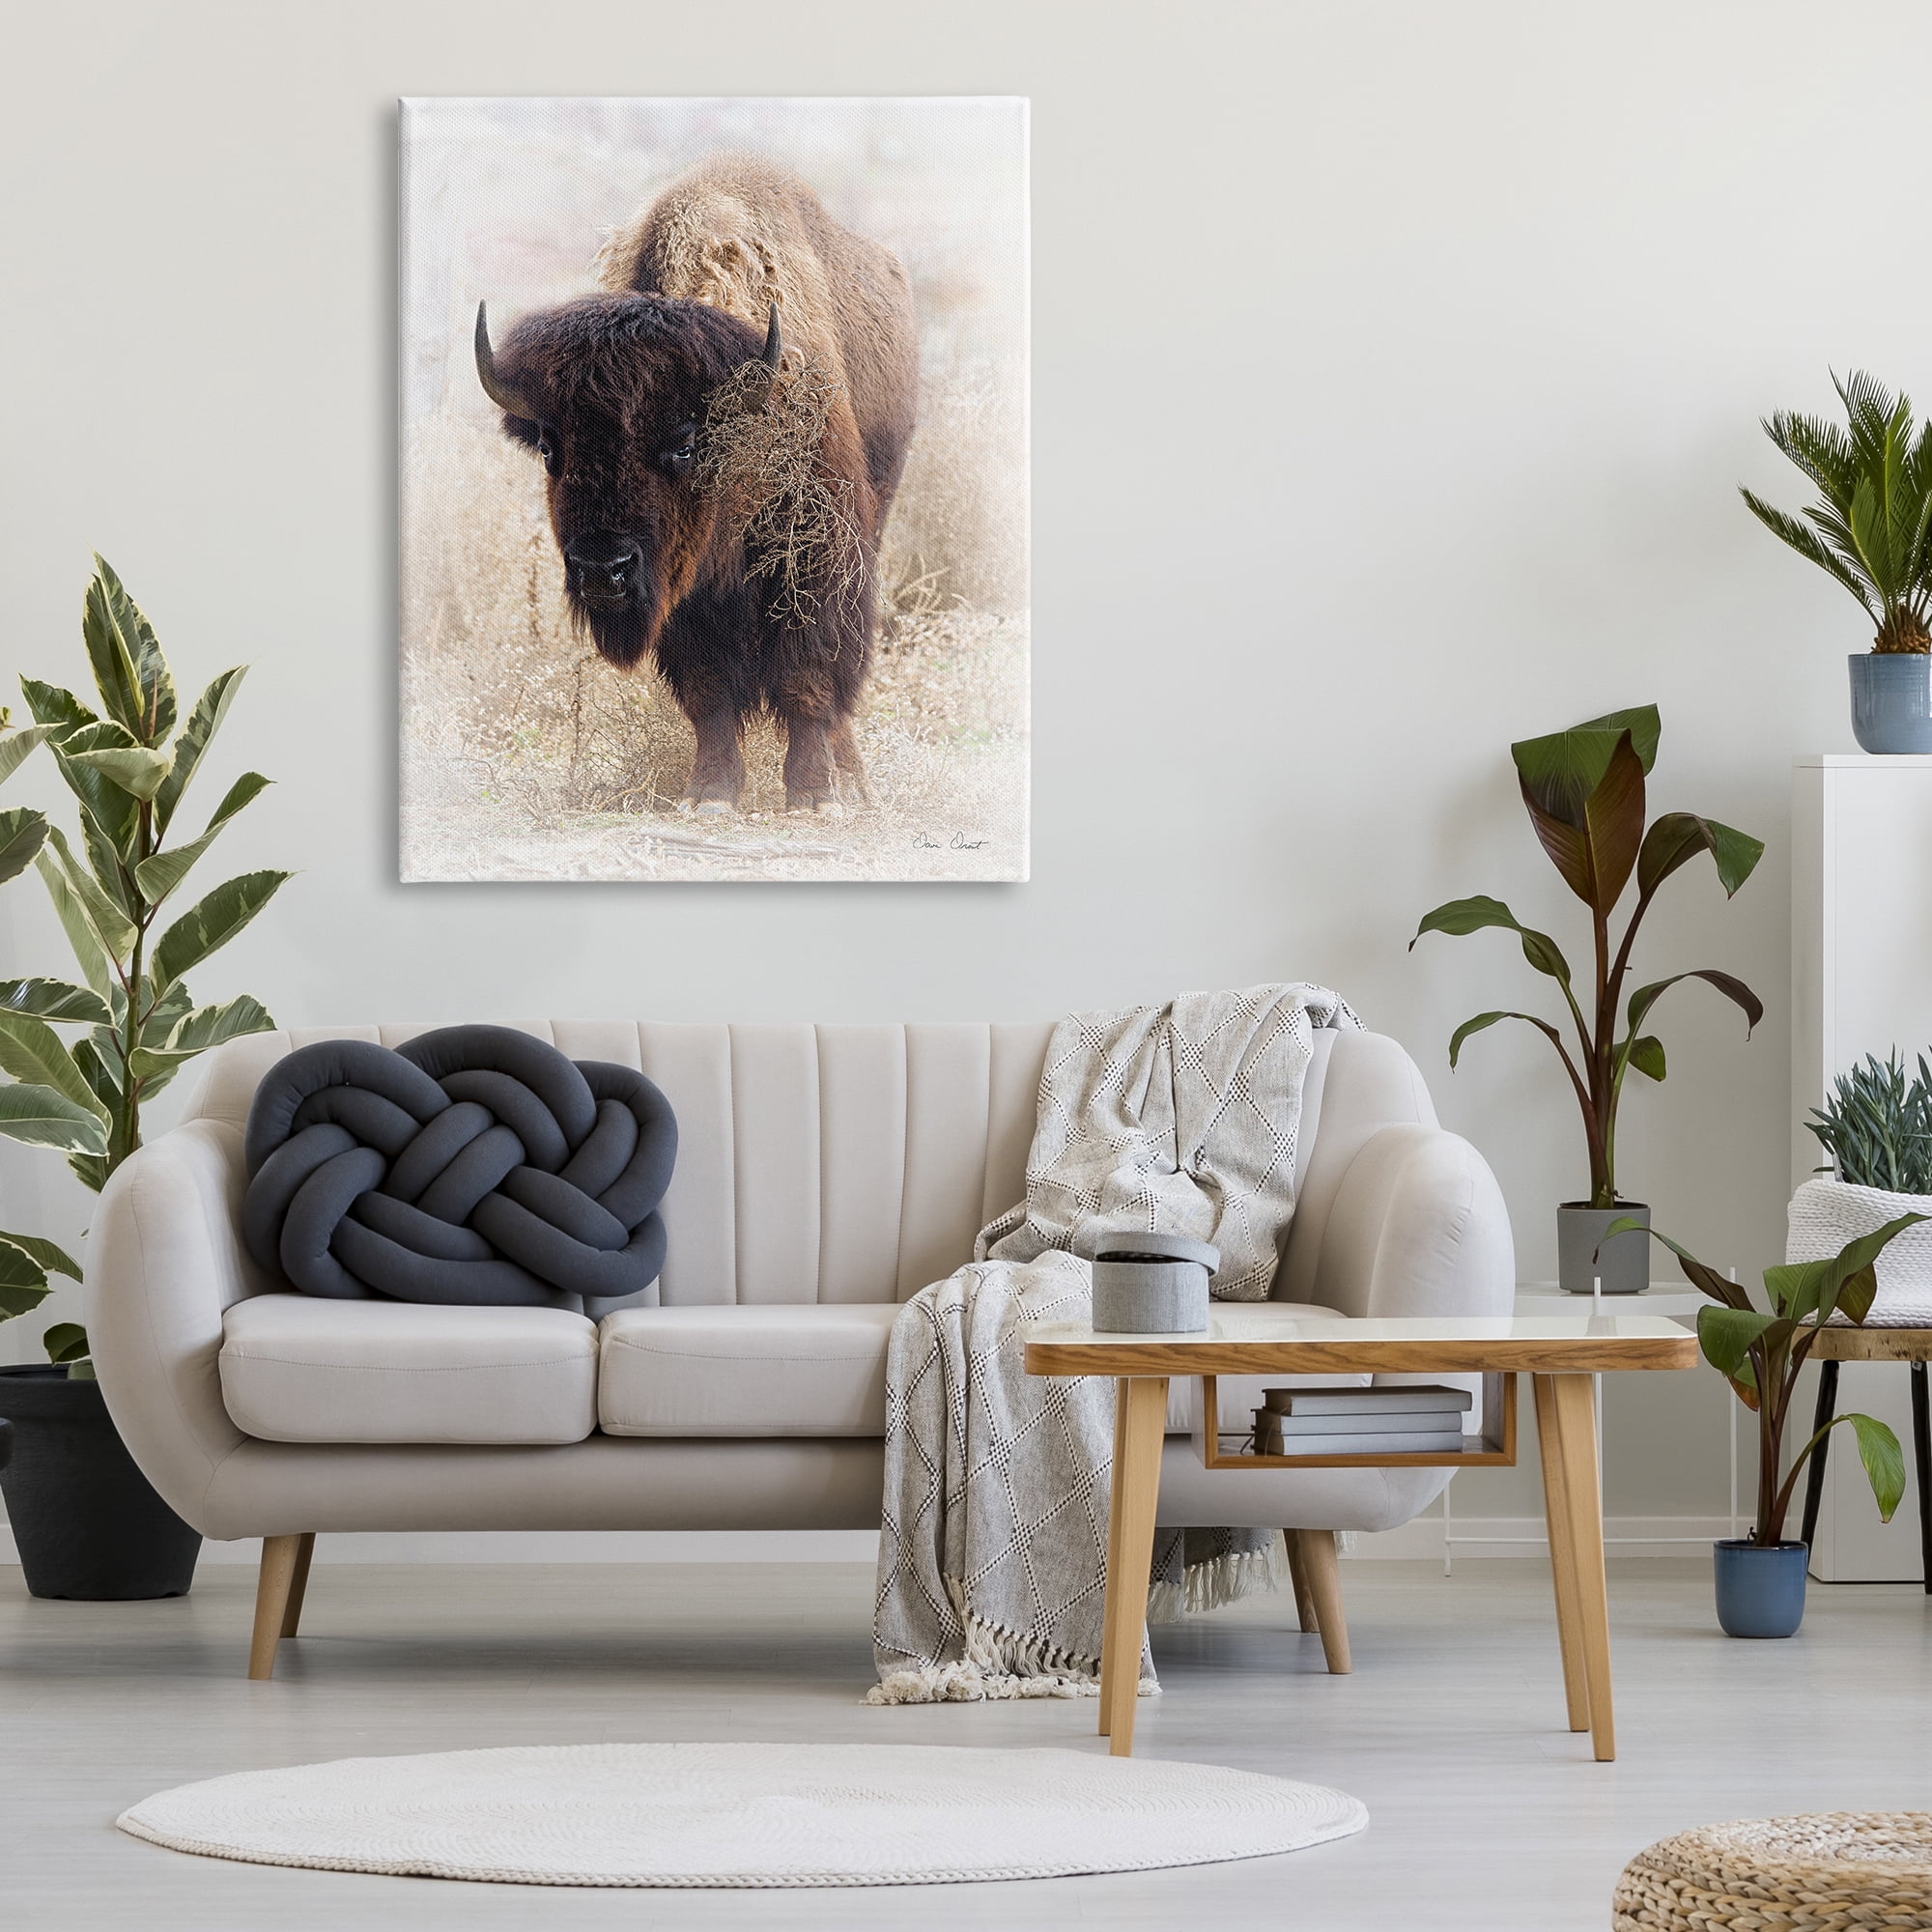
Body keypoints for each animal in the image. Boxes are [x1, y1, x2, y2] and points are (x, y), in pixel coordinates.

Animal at [474, 155, 918, 814]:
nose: (602, 570)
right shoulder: (686, 599)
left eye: (685, 443)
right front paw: (712, 792)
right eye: (551, 447)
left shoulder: (817, 562)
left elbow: (807, 676)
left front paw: (813, 795)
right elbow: (709, 691)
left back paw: (852, 782)